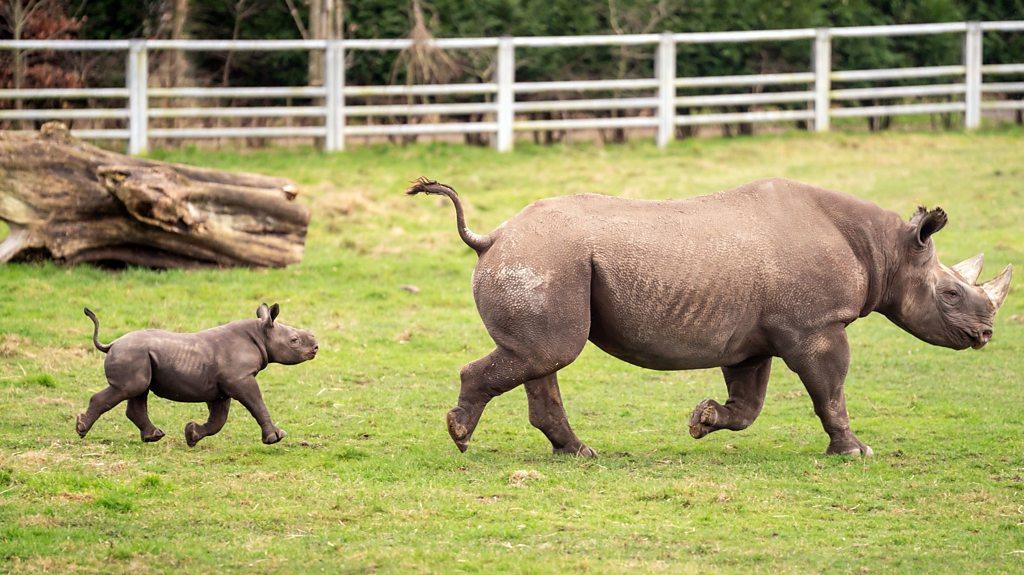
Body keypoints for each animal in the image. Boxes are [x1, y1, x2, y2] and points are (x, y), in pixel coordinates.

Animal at [76, 302, 317, 446]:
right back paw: (81, 430)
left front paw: (192, 435)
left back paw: (154, 436)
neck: (260, 333)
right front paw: (276, 437)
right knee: (130, 388)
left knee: (138, 392)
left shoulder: (223, 388)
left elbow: (219, 419)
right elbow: (257, 404)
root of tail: (111, 344)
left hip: (137, 356)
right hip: (131, 354)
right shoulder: (240, 379)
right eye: (294, 341)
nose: (316, 347)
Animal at [405, 177, 1007, 454]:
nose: (985, 334)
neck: (886, 250)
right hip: (544, 259)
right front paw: (855, 451)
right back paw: (461, 436)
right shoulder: (816, 326)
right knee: (548, 354)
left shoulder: (756, 337)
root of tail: (492, 237)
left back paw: (578, 453)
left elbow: (750, 403)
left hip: (543, 260)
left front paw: (702, 421)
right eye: (951, 294)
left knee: (540, 358)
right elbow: (830, 391)